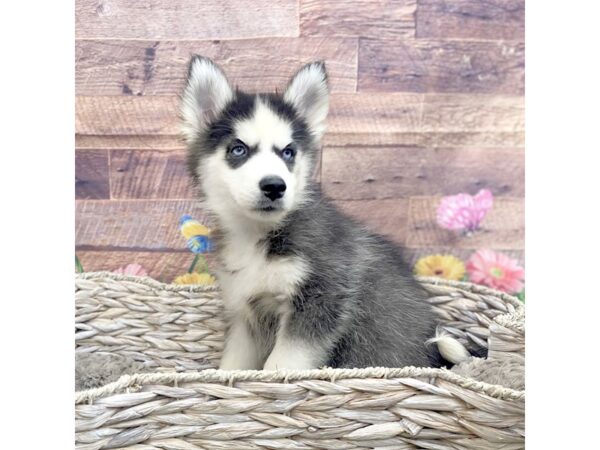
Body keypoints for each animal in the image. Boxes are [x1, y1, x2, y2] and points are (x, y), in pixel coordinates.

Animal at [178, 56, 464, 370]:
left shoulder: (320, 298)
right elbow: (234, 365)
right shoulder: (246, 311)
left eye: (288, 152)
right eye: (238, 149)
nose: (275, 186)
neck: (257, 235)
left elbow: (281, 364)